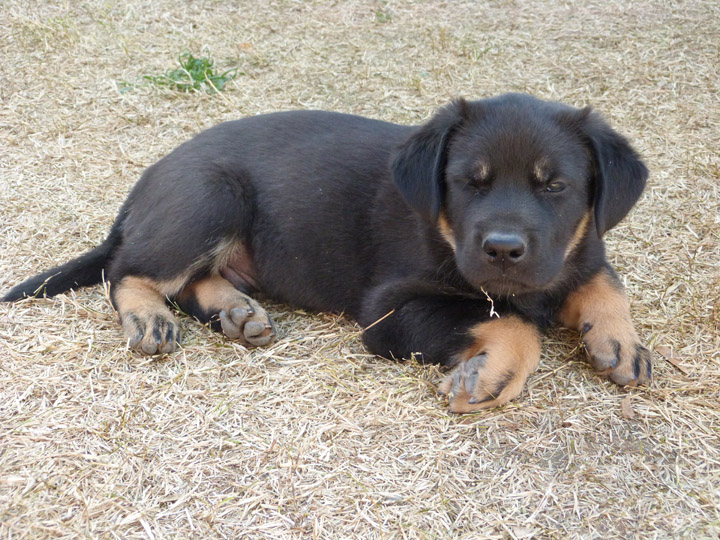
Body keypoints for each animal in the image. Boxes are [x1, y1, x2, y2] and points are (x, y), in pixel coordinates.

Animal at [1, 94, 652, 414]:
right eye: (470, 182)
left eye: (555, 187)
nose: (503, 249)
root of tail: (146, 182)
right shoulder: (390, 311)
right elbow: (515, 322)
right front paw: (490, 374)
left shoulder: (579, 250)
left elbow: (604, 281)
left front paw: (619, 342)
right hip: (212, 192)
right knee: (128, 269)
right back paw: (148, 317)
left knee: (191, 281)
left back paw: (236, 311)